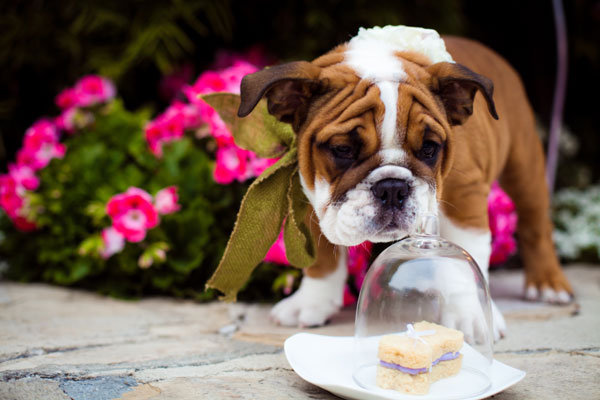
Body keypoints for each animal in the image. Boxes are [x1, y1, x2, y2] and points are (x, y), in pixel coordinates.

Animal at [234, 25, 572, 340]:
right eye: (343, 150)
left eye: (430, 148)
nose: (392, 188)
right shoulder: (312, 190)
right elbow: (322, 256)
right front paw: (312, 302)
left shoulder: (465, 197)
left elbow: (465, 257)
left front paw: (470, 316)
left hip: (524, 165)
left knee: (535, 223)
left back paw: (548, 284)